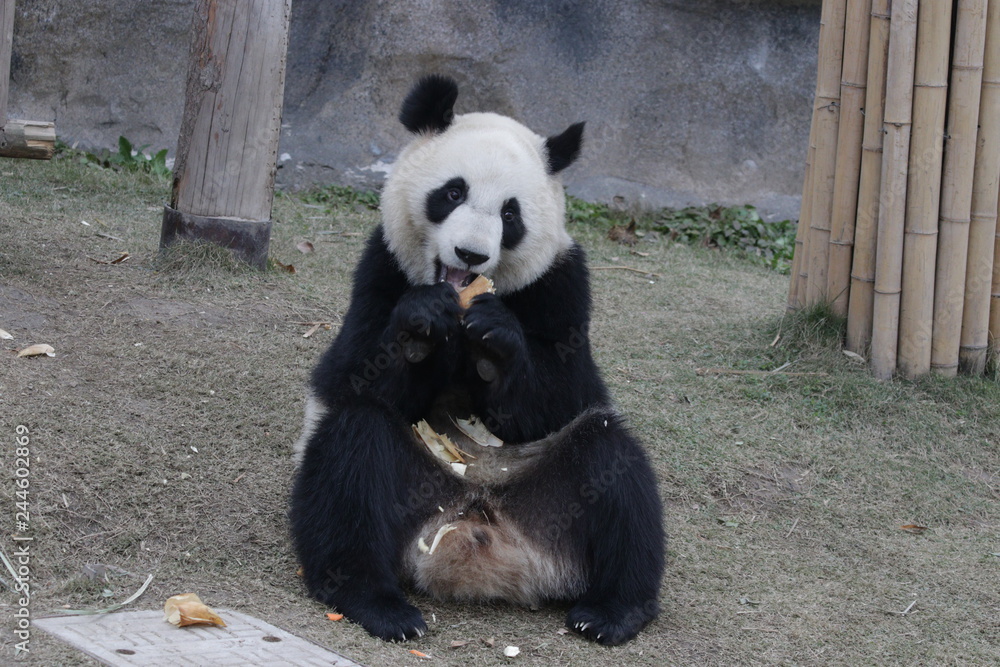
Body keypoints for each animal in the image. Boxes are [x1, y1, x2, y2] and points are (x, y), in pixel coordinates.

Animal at [290, 75, 664, 646]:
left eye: (511, 214)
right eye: (452, 192)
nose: (470, 255)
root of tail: (474, 531)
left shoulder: (562, 283)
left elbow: (563, 395)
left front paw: (495, 340)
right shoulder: (379, 265)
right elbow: (351, 372)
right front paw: (422, 324)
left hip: (551, 492)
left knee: (614, 467)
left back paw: (611, 611)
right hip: (409, 492)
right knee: (350, 459)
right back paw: (377, 604)